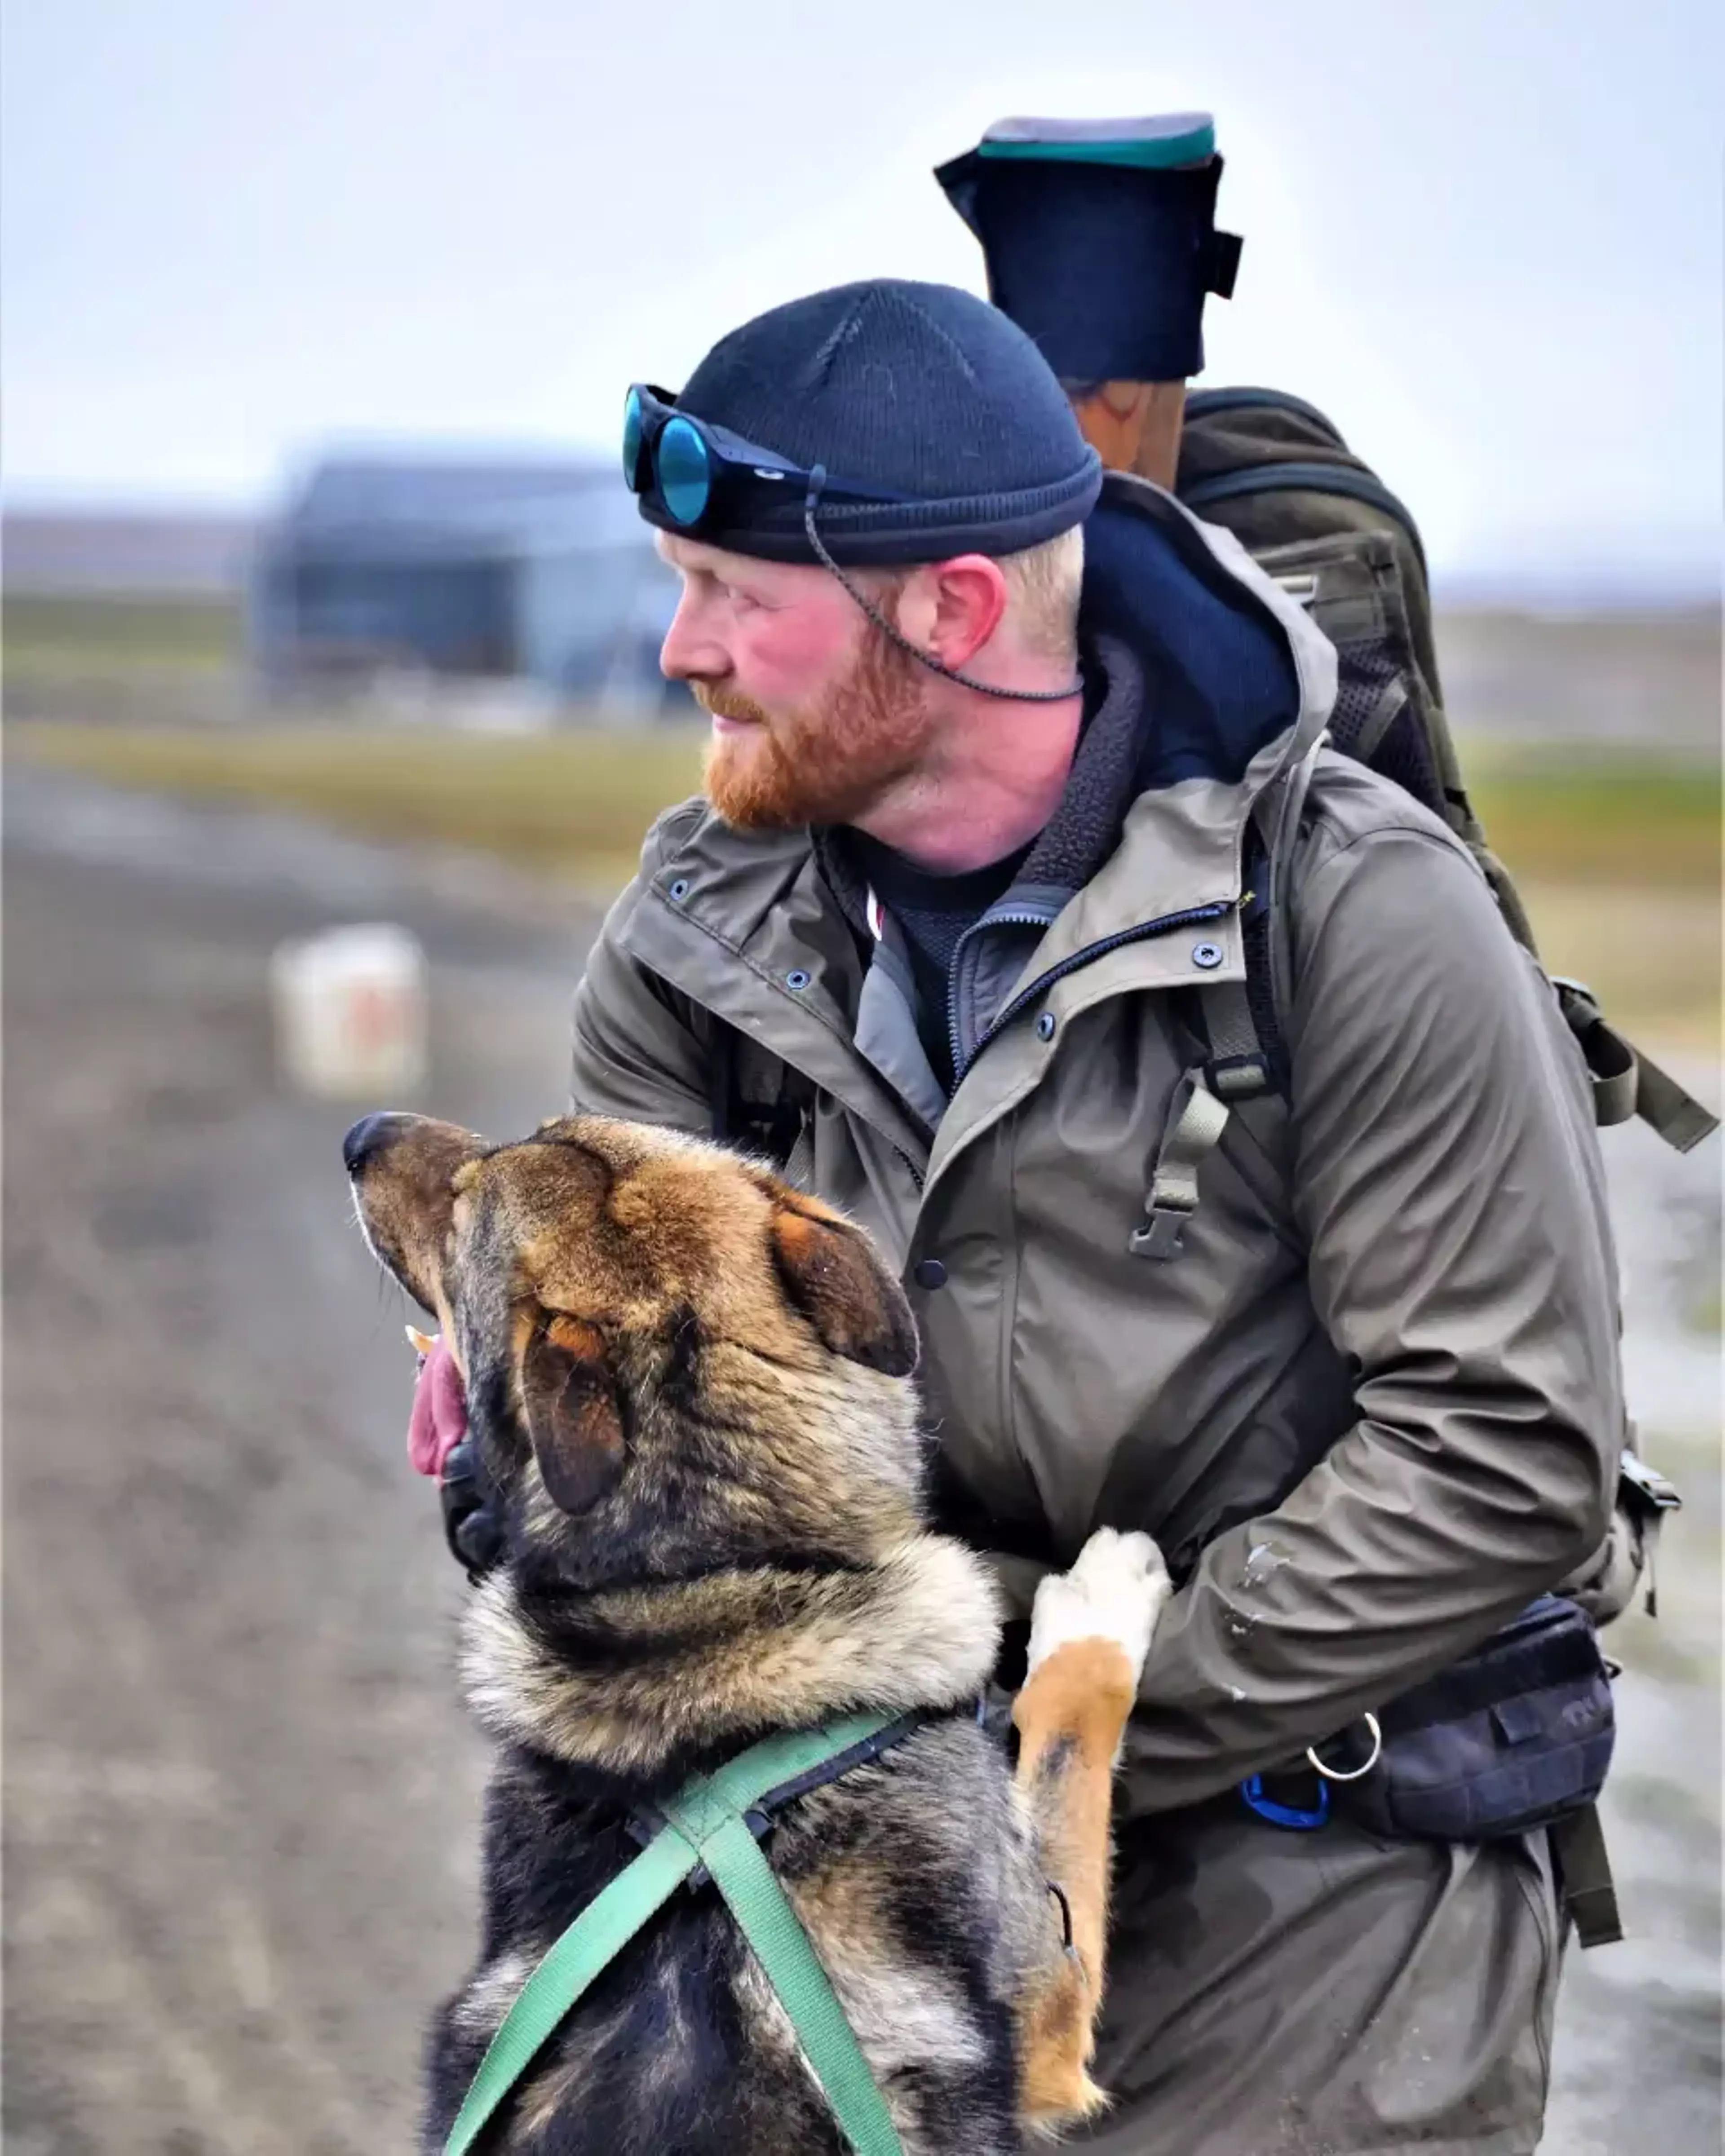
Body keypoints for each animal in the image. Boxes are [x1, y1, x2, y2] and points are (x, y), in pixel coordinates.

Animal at [343, 1112, 1164, 2156]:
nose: (359, 1134)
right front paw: (1108, 1592)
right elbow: (1073, 1733)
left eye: (480, 1177)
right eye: (466, 1211)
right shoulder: (1055, 2008)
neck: (716, 1593)